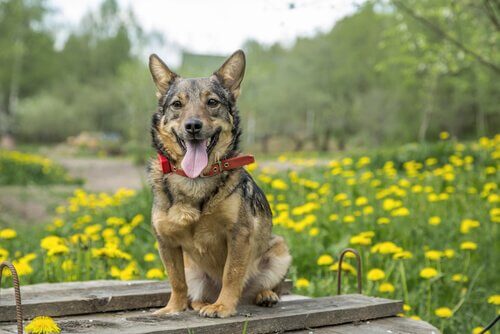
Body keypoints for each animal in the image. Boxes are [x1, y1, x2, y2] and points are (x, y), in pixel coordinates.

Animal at [146, 50, 292, 318]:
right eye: (177, 105)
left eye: (212, 102)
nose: (193, 126)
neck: (195, 179)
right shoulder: (166, 241)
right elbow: (176, 280)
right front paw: (173, 307)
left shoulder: (238, 234)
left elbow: (231, 274)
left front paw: (223, 306)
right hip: (194, 272)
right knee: (195, 295)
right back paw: (201, 303)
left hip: (279, 249)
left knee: (267, 286)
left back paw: (264, 295)